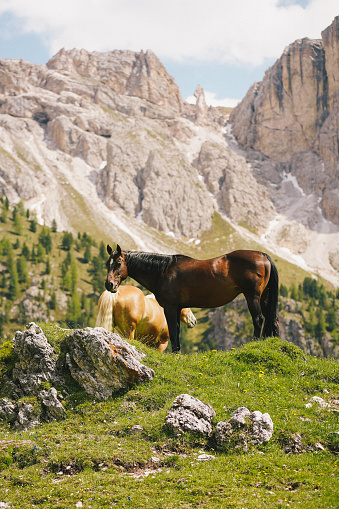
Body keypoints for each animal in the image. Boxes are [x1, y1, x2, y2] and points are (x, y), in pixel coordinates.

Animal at [105, 244, 280, 352]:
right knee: (273, 319)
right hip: (264, 297)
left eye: (119, 262)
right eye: (107, 264)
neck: (163, 270)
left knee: (258, 319)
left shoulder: (170, 307)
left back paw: (255, 343)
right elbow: (176, 330)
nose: (109, 285)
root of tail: (263, 256)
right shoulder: (177, 308)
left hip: (253, 297)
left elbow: (173, 331)